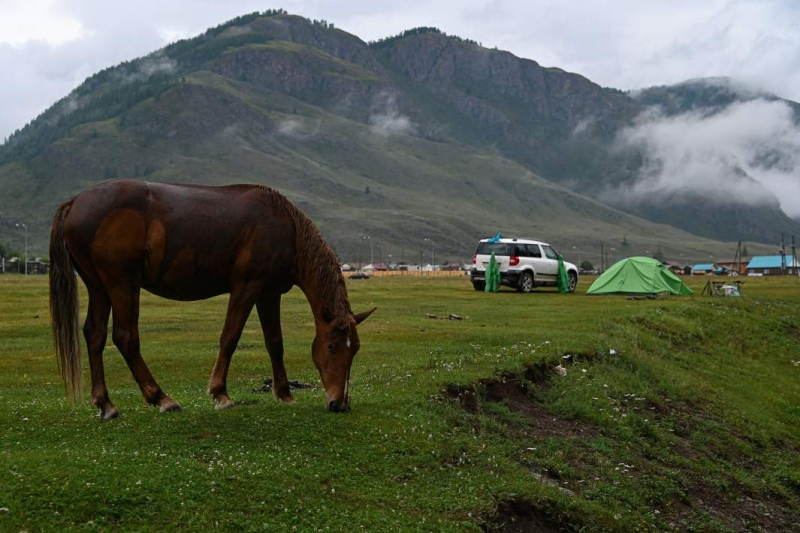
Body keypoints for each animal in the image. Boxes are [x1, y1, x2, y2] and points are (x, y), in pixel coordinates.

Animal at [50, 181, 376, 418]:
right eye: (332, 346)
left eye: (355, 349)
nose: (339, 402)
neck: (286, 228)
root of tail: (74, 203)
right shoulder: (246, 288)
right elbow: (229, 338)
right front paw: (221, 393)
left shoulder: (268, 293)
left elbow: (275, 343)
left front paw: (284, 393)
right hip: (122, 284)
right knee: (125, 337)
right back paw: (161, 398)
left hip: (99, 286)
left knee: (95, 335)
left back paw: (106, 404)